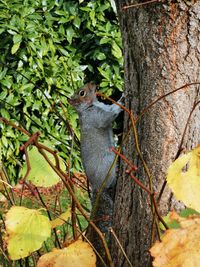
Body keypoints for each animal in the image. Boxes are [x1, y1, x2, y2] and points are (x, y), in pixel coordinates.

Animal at [68, 82, 122, 262]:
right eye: (82, 93)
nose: (93, 83)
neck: (92, 105)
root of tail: (98, 186)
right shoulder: (97, 117)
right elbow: (110, 115)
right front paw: (124, 99)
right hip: (108, 165)